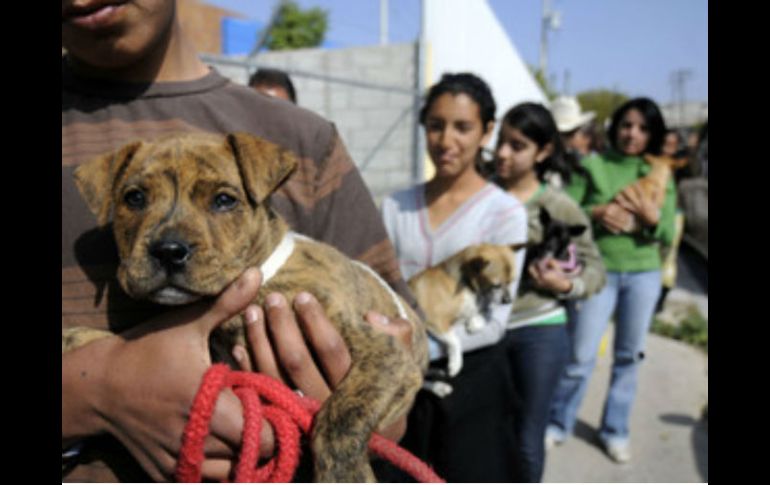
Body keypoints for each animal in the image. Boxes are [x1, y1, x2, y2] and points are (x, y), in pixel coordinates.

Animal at [63, 130, 428, 482]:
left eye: (224, 200)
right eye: (134, 198)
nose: (168, 250)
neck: (262, 277)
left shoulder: (384, 352)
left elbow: (341, 415)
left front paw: (344, 474)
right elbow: (122, 339)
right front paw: (73, 337)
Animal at [408, 244, 520, 380]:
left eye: (512, 281)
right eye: (496, 285)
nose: (509, 301)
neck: (468, 285)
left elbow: (484, 311)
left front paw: (476, 322)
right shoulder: (434, 320)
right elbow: (455, 340)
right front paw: (456, 364)